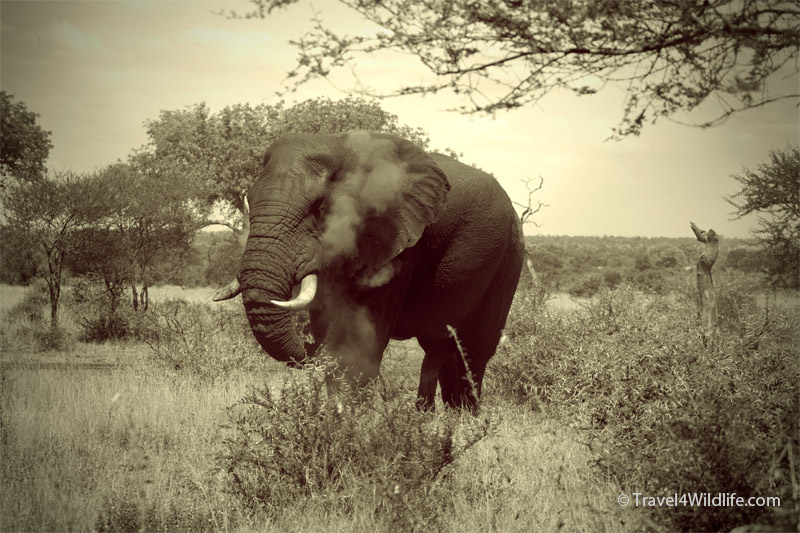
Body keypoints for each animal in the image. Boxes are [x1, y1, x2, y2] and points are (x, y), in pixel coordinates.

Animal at [212, 131, 524, 410]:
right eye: (250, 201)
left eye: (320, 208)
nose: (310, 348)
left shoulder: (400, 240)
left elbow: (365, 336)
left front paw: (350, 422)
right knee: (443, 348)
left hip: (508, 256)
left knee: (474, 350)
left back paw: (465, 421)